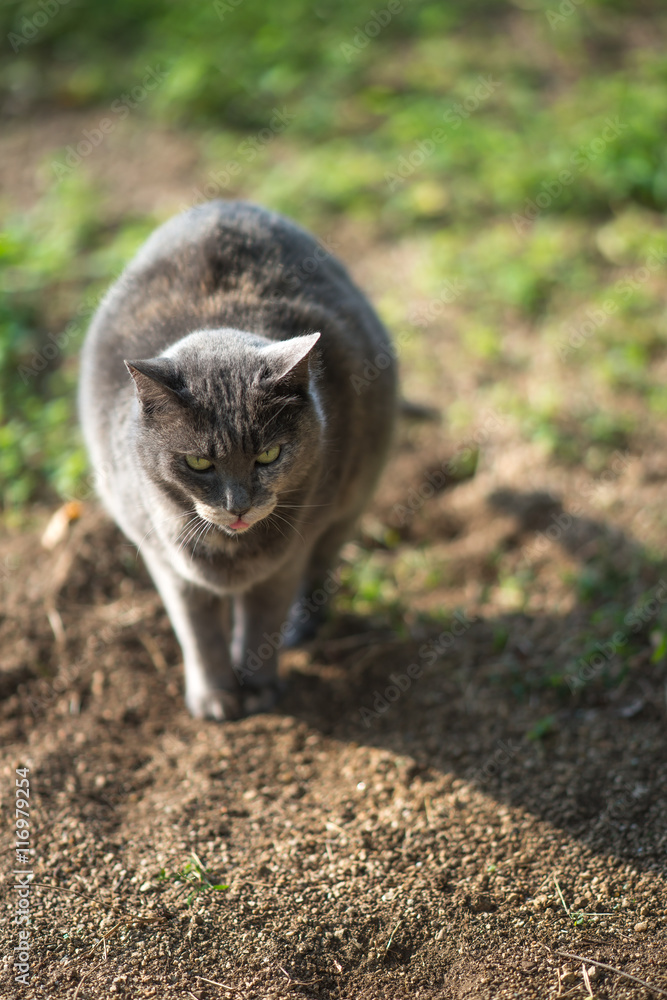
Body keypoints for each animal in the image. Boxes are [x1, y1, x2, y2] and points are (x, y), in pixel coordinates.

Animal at [81, 201, 400, 720]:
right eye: (198, 464)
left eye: (268, 454)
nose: (238, 506)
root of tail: (221, 204)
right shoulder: (166, 559)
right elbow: (198, 632)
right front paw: (215, 700)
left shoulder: (288, 556)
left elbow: (263, 620)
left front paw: (259, 691)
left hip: (349, 501)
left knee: (321, 568)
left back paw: (303, 628)